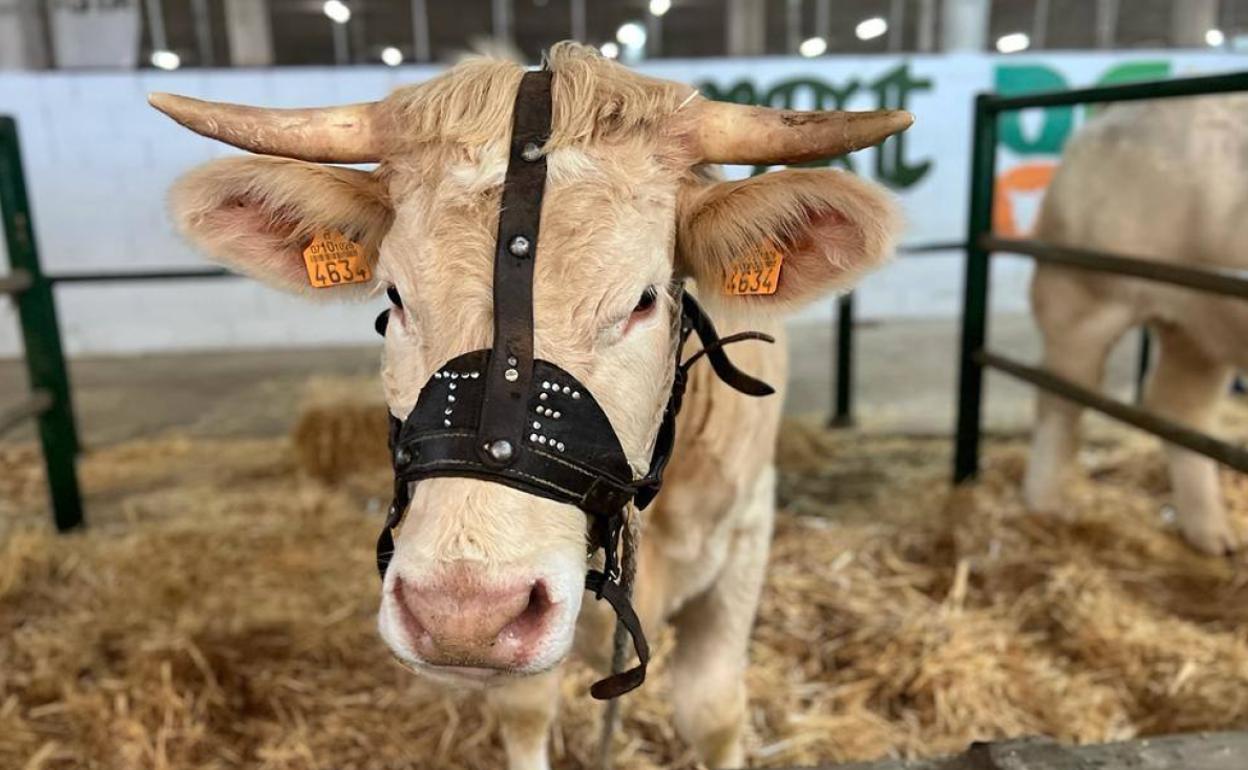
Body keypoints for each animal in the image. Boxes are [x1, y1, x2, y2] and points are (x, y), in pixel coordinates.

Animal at [153, 44, 908, 763]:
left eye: (642, 300)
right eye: (395, 297)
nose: (462, 614)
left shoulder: (747, 536)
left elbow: (713, 712)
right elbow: (524, 712)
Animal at [1023, 96, 1248, 551]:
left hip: (1201, 328)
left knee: (1179, 408)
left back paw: (1214, 537)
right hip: (1079, 296)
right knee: (1059, 399)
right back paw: (1046, 507)